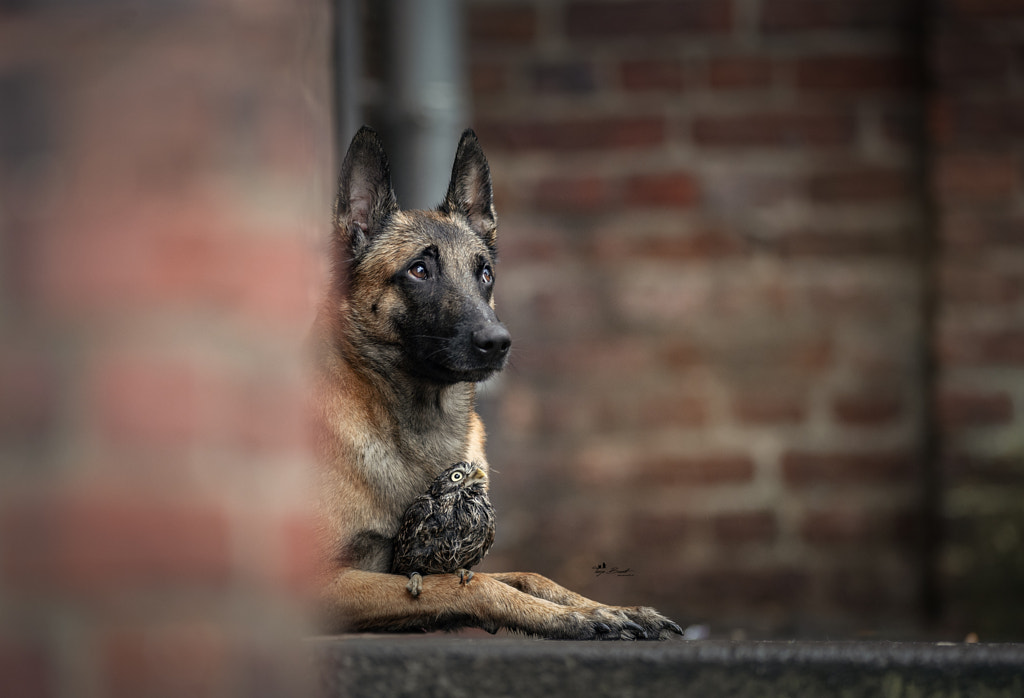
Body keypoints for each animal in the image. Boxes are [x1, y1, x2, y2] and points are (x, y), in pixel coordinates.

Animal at [311, 124, 679, 634]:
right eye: (419, 270)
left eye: (484, 273)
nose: (498, 342)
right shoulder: (324, 584)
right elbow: (478, 585)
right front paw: (571, 619)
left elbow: (527, 575)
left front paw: (600, 607)